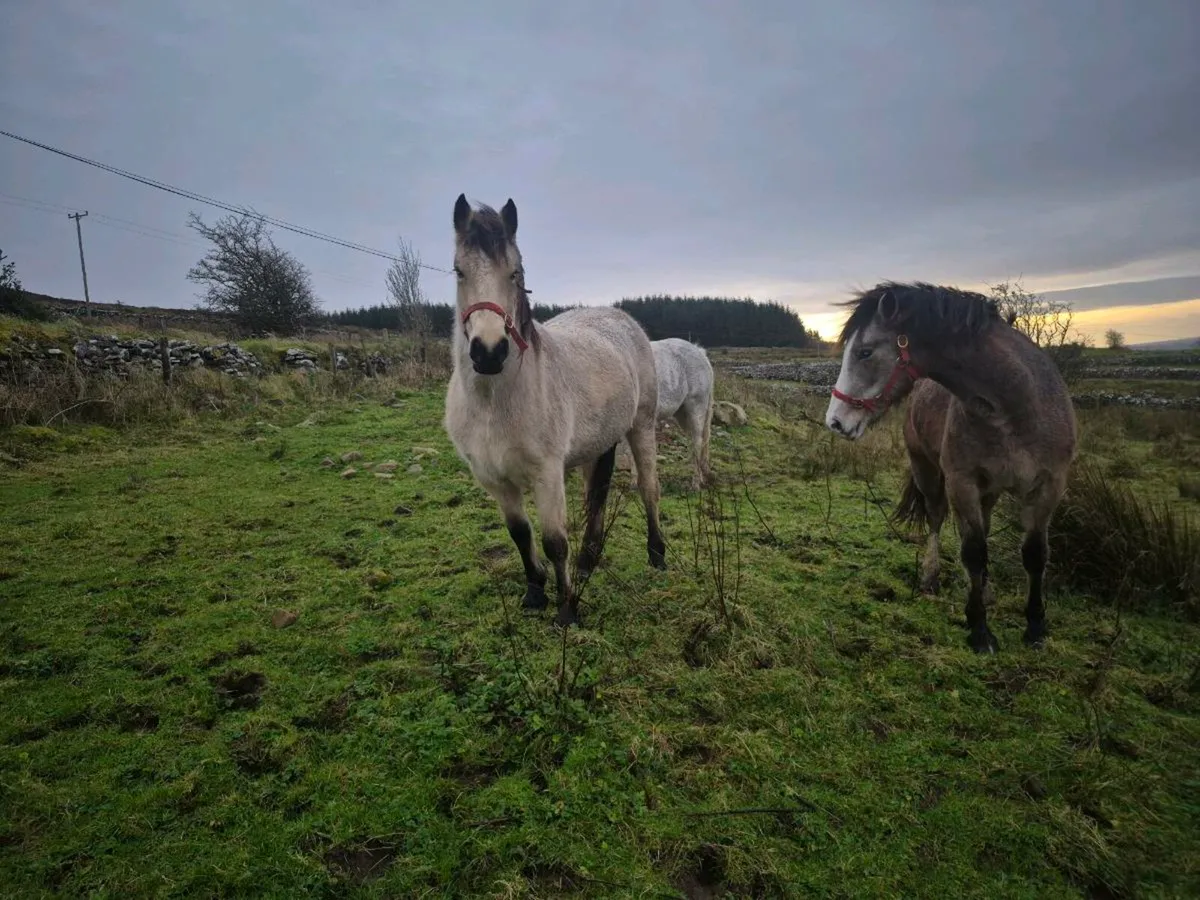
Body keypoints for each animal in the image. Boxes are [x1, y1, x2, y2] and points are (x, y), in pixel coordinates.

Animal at [442, 193, 668, 627]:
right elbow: (521, 534)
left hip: (641, 427)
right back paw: (588, 562)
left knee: (649, 489)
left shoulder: (547, 475)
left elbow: (554, 542)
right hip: (597, 446)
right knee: (596, 502)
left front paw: (567, 610)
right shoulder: (495, 481)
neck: (495, 405)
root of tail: (621, 319)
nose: (489, 352)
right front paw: (534, 591)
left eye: (515, 273)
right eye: (459, 271)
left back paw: (657, 554)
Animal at [824, 281, 1078, 654]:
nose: (836, 421)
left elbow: (1034, 554)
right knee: (935, 518)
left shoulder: (1048, 486)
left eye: (865, 352)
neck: (1016, 404)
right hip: (928, 473)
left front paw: (1034, 626)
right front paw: (980, 630)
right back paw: (931, 578)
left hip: (990, 490)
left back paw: (986, 589)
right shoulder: (963, 483)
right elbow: (973, 551)